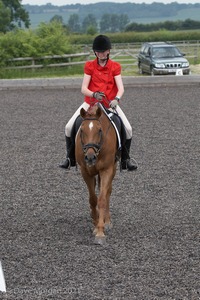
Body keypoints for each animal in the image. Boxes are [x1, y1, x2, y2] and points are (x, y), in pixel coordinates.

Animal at [76, 103, 118, 244]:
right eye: (82, 131)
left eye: (99, 130)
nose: (90, 158)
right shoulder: (85, 171)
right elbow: (93, 199)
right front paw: (95, 225)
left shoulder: (106, 170)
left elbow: (102, 199)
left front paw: (100, 231)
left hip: (113, 168)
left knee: (108, 192)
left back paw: (107, 221)